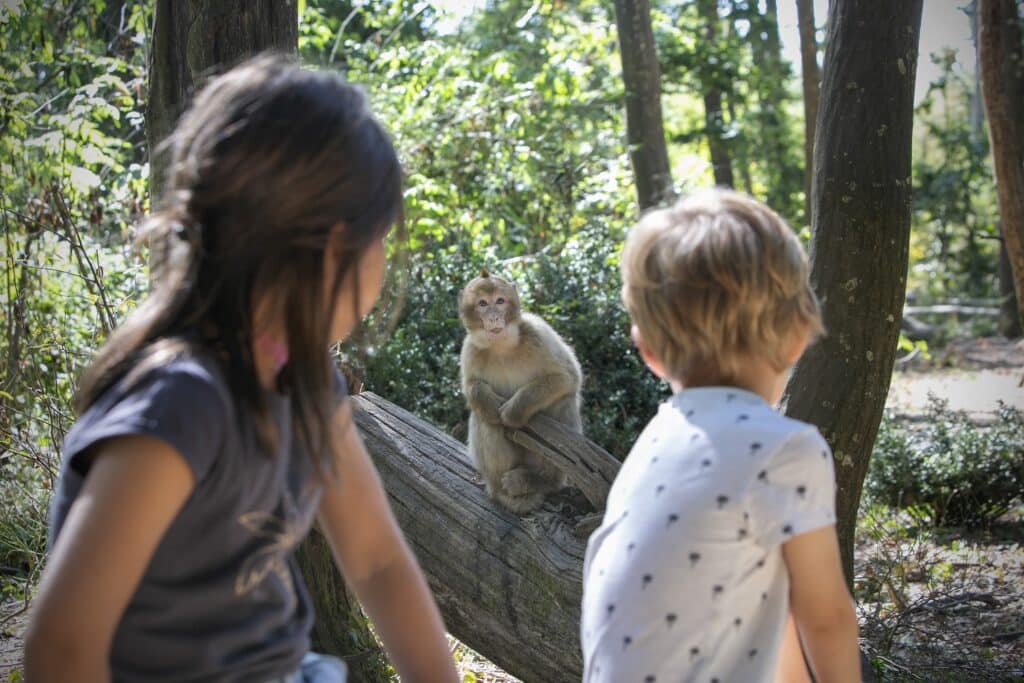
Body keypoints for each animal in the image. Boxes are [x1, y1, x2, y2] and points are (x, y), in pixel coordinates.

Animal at [458, 270, 585, 511]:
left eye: (500, 301)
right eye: (482, 304)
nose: (494, 317)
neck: (501, 345)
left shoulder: (538, 333)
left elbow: (568, 377)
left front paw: (514, 411)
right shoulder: (470, 349)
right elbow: (472, 388)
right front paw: (490, 403)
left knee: (563, 401)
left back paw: (538, 481)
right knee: (485, 419)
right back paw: (502, 492)